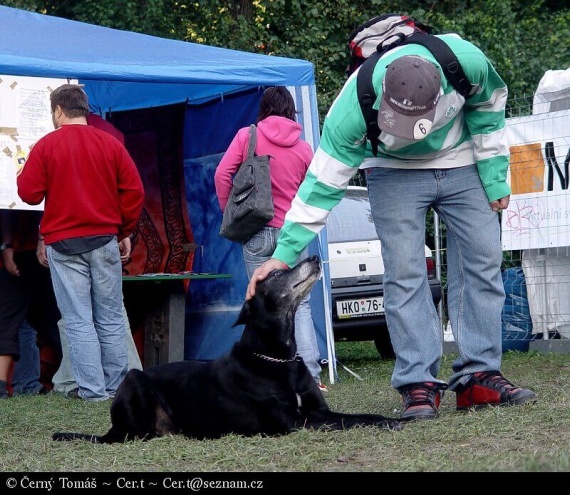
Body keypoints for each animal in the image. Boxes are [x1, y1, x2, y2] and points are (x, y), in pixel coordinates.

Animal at [53, 258, 400, 444]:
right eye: (276, 274)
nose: (315, 257)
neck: (279, 359)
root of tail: (111, 430)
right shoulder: (294, 422)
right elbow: (346, 423)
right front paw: (389, 423)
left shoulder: (318, 410)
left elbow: (358, 416)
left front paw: (388, 419)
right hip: (135, 380)